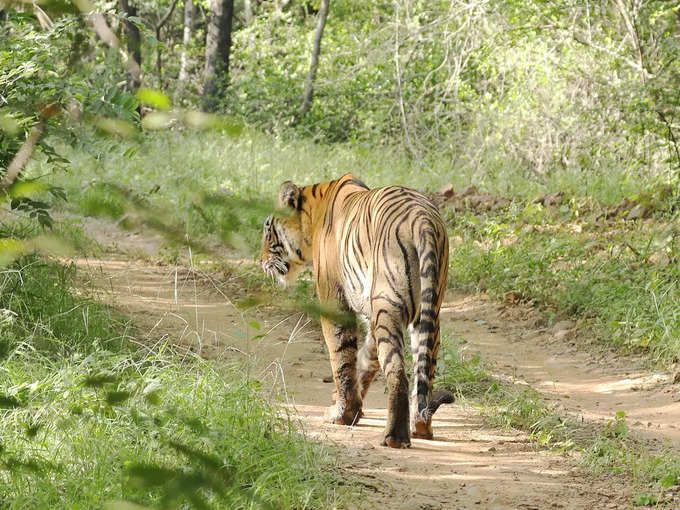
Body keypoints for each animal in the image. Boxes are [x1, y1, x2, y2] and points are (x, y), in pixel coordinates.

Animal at [258, 173, 454, 448]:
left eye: (268, 230)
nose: (260, 261)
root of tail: (423, 219)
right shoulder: (370, 313)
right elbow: (365, 358)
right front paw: (352, 407)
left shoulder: (334, 300)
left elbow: (341, 358)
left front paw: (341, 414)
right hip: (429, 312)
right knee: (423, 371)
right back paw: (420, 428)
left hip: (389, 305)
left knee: (397, 372)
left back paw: (394, 437)